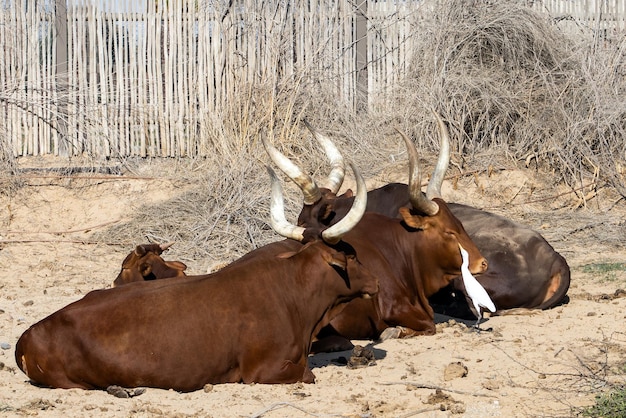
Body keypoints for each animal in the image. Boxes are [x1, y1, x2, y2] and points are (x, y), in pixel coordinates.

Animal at [13, 167, 376, 392]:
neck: (295, 297)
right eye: (351, 255)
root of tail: (29, 334)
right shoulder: (266, 370)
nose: (376, 282)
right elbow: (309, 375)